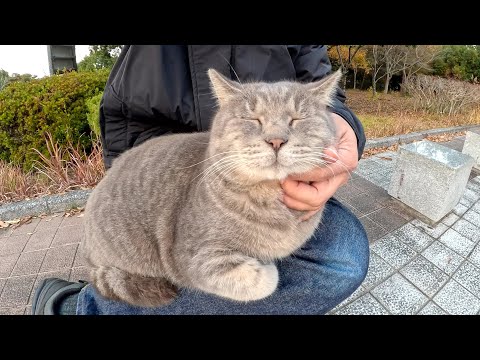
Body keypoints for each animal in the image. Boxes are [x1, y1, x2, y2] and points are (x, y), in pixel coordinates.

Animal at [81, 68, 342, 306]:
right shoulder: (195, 258)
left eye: (297, 119)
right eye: (252, 119)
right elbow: (262, 281)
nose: (276, 140)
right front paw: (266, 266)